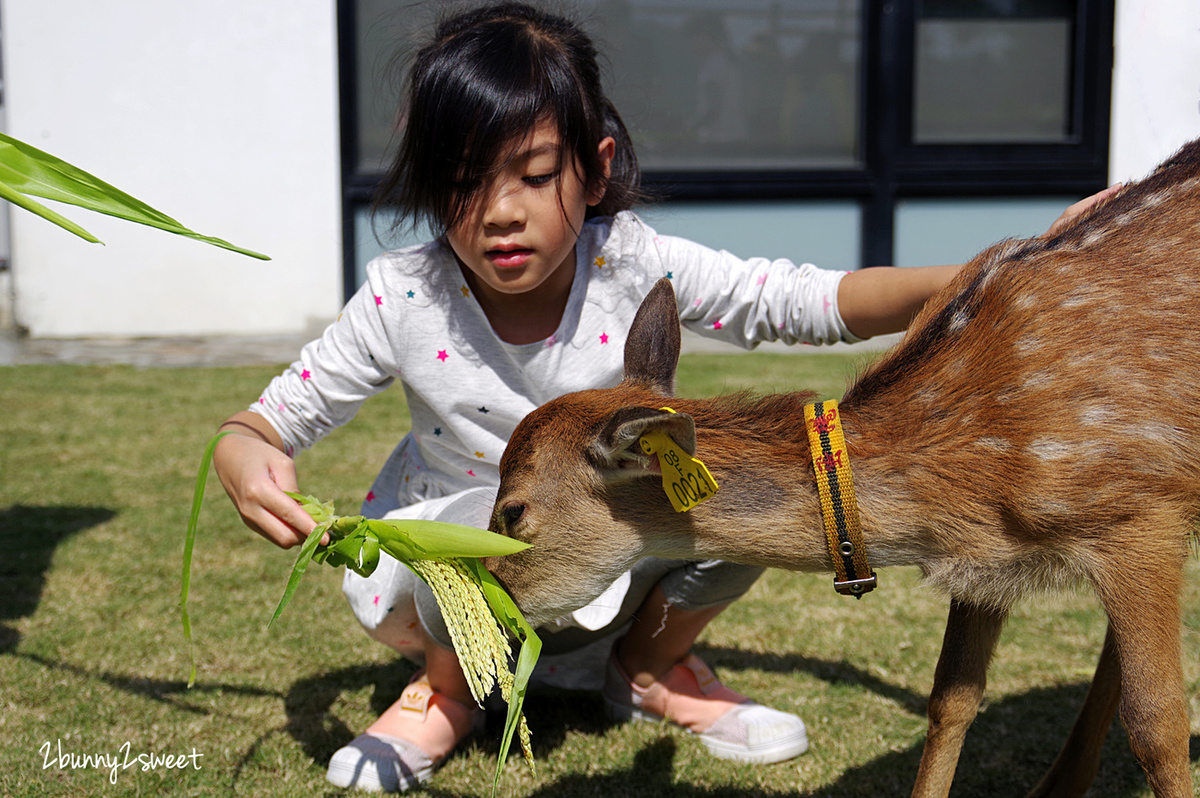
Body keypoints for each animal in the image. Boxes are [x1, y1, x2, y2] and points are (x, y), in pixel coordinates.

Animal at [484, 139, 1200, 792]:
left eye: (512, 509)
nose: (494, 607)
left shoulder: (1141, 512)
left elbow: (1158, 723)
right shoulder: (987, 568)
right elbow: (950, 700)